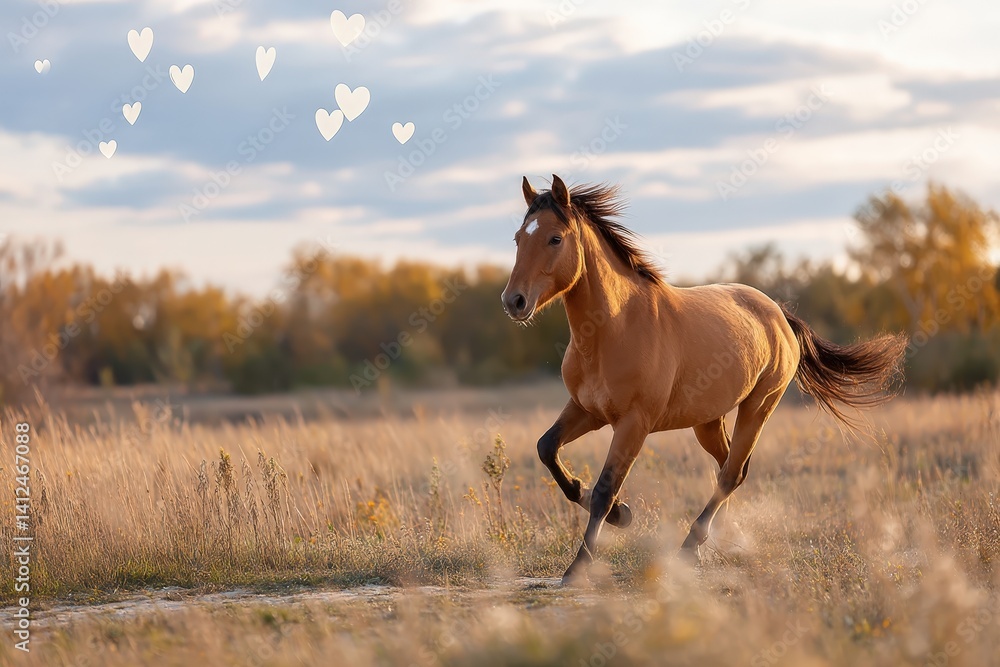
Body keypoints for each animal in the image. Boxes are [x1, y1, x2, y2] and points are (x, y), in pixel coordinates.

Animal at [501, 175, 906, 585]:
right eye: (518, 238)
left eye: (555, 238)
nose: (513, 301)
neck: (613, 328)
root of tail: (779, 313)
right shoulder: (587, 410)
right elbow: (547, 449)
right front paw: (619, 513)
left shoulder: (633, 424)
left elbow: (605, 489)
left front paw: (579, 565)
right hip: (708, 422)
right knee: (731, 468)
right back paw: (723, 538)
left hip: (758, 407)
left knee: (730, 474)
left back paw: (690, 545)